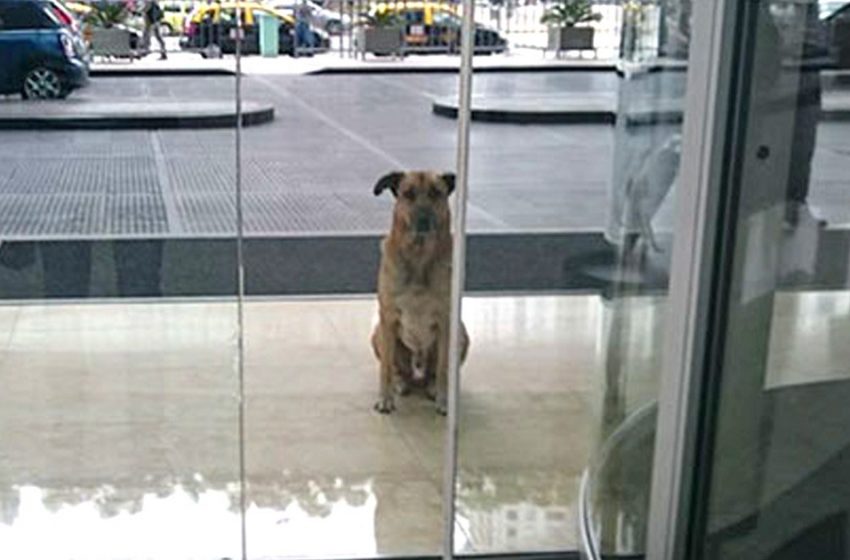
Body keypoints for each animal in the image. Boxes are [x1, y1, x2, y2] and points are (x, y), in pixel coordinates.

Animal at [368, 172, 468, 416]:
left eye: (435, 193)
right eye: (408, 194)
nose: (423, 219)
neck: (419, 257)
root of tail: (418, 363)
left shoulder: (446, 321)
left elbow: (443, 368)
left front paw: (444, 400)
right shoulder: (388, 318)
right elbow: (385, 368)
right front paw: (385, 399)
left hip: (461, 335)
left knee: (435, 372)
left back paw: (433, 386)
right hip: (379, 334)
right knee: (396, 368)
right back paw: (399, 383)